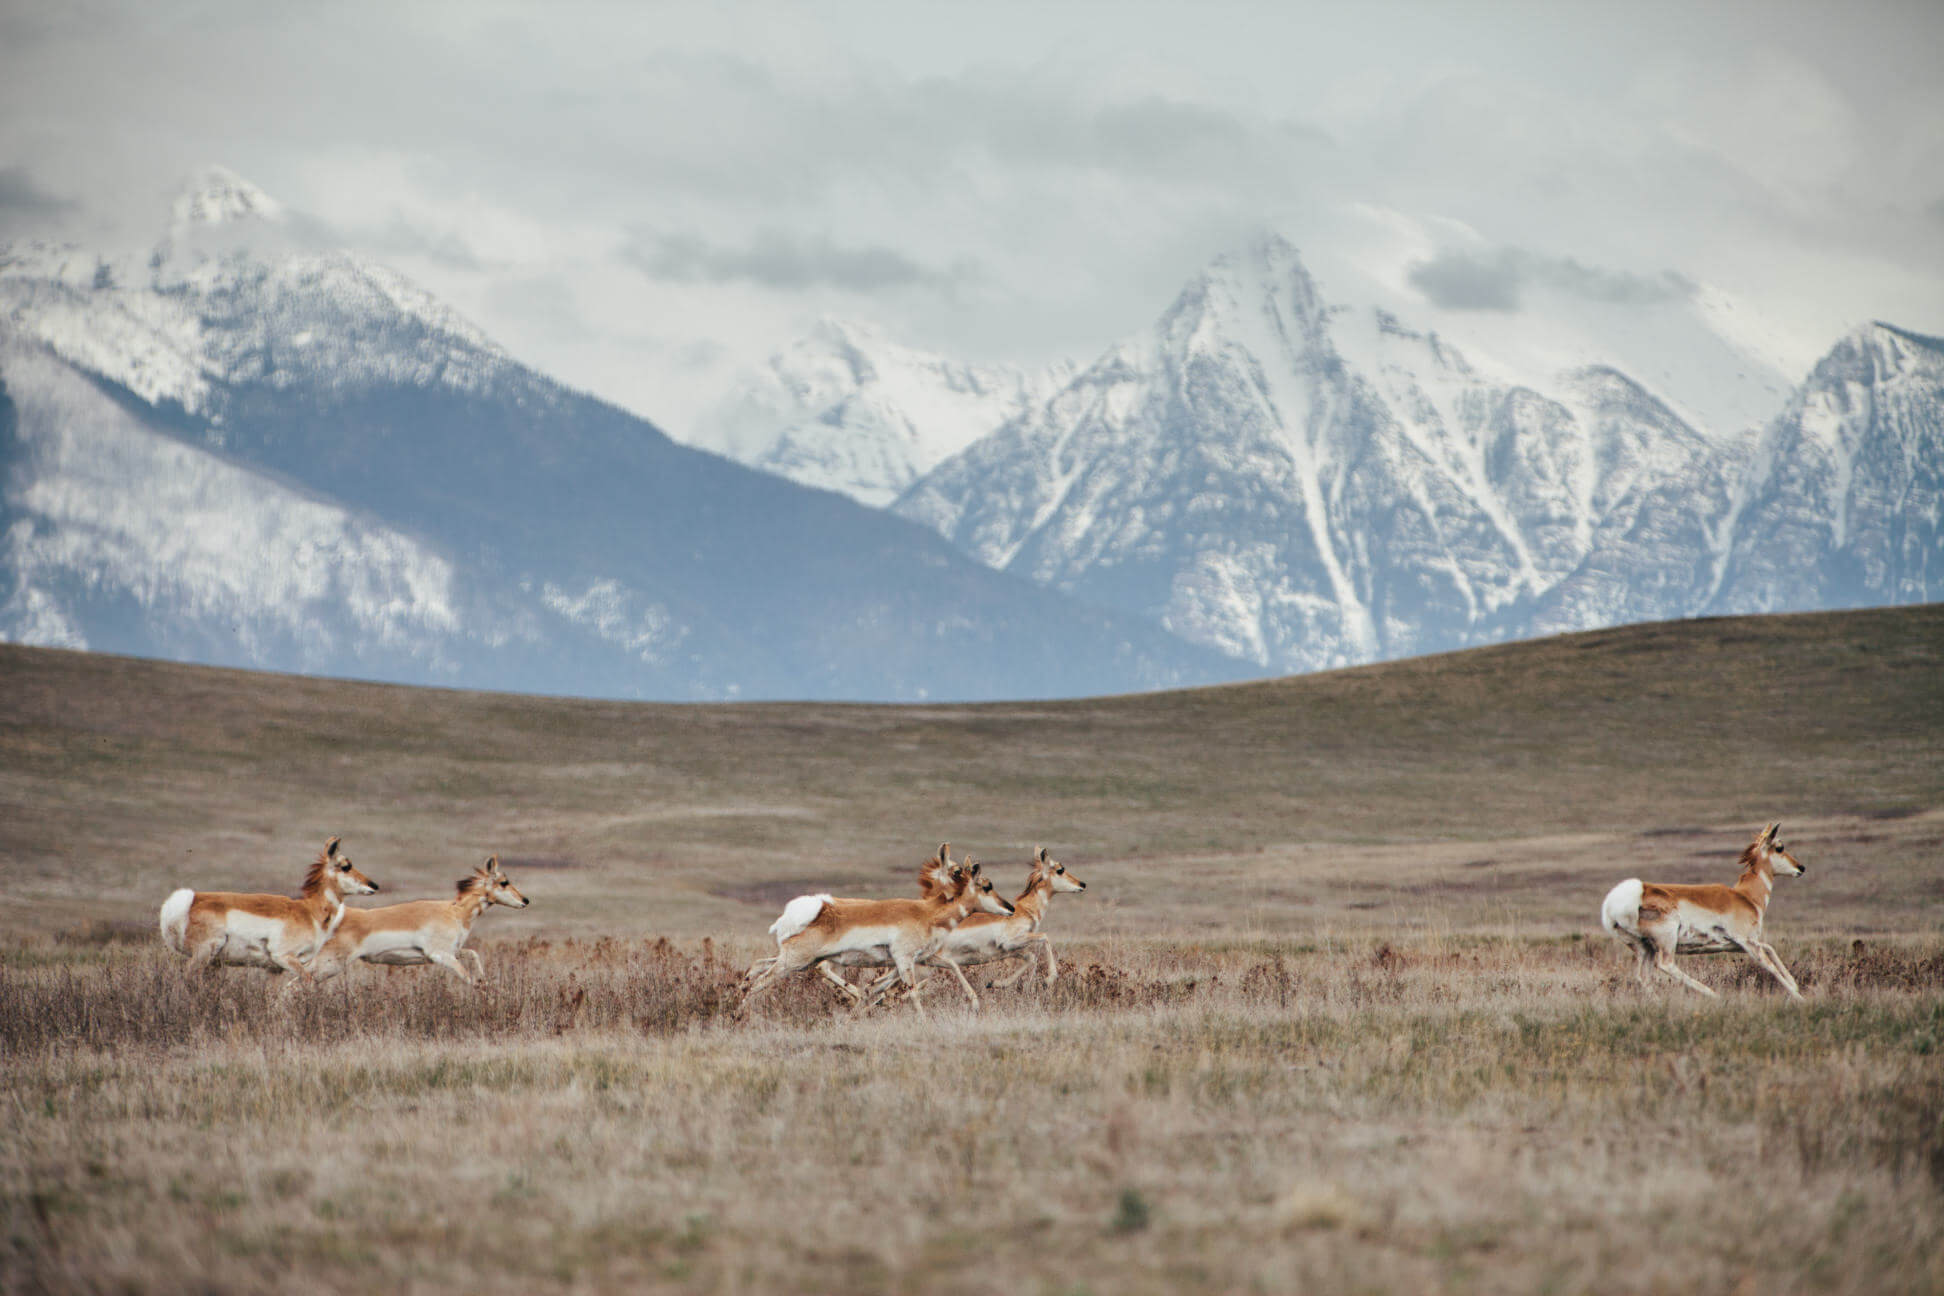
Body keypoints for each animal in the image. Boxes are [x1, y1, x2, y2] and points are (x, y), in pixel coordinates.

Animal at [157, 836, 379, 982]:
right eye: (346, 866)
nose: (374, 885)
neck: (309, 911)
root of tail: (192, 899)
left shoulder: (274, 970)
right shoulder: (285, 957)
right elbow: (308, 981)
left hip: (211, 961)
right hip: (204, 954)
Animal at [310, 855, 530, 985]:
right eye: (504, 882)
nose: (525, 900)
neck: (455, 911)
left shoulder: (453, 951)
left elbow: (474, 955)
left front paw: (483, 980)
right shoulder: (441, 955)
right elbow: (467, 978)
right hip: (328, 965)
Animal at [743, 846, 1014, 1017]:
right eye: (987, 885)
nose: (1011, 908)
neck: (926, 911)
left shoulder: (923, 958)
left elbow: (954, 967)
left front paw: (975, 1004)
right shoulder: (904, 960)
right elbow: (912, 993)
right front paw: (923, 1021)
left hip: (801, 961)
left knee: (755, 969)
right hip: (795, 961)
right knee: (759, 982)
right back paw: (740, 1014)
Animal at [861, 847, 1087, 1008]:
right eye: (1060, 869)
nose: (1082, 884)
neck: (1023, 909)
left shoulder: (1007, 951)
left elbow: (1030, 958)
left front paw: (995, 983)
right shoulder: (1011, 942)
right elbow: (1044, 938)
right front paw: (1049, 979)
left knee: (875, 987)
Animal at [1600, 822, 1806, 1001]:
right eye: (1779, 847)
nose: (1801, 868)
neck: (1744, 896)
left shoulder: (1738, 944)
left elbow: (1770, 949)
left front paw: (1794, 986)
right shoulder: (1747, 942)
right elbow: (1770, 966)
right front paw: (1800, 998)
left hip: (1645, 948)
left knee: (1643, 978)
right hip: (1666, 941)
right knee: (1666, 965)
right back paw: (1713, 994)